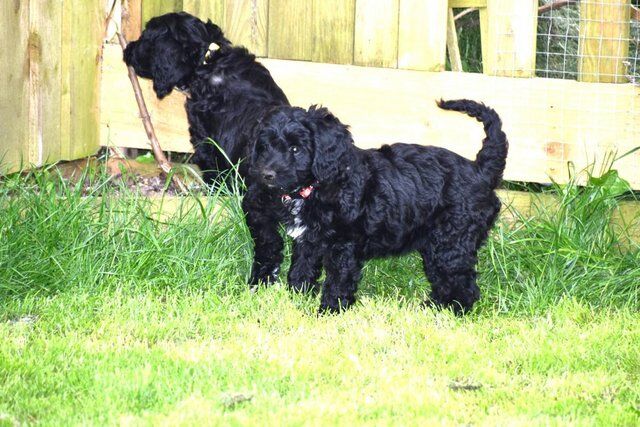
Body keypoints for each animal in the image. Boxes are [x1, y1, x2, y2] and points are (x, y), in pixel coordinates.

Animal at [242, 99, 508, 314]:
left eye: (296, 149)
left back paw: (450, 312)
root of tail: (481, 170)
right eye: (264, 147)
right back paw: (432, 308)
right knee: (446, 280)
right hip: (437, 246)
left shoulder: (343, 245)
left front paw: (328, 312)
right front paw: (296, 296)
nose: (266, 175)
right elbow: (301, 268)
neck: (318, 185)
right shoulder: (310, 240)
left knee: (463, 284)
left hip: (451, 242)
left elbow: (338, 280)